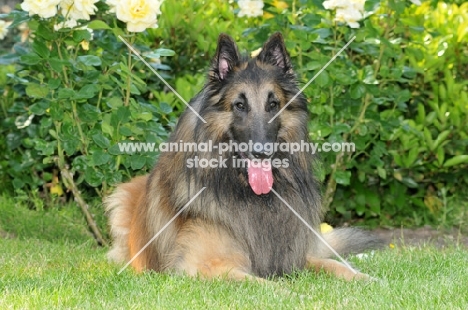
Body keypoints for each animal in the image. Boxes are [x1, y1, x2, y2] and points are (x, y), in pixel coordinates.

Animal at [105, 32, 380, 280]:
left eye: (273, 104)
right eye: (240, 105)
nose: (262, 152)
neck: (246, 191)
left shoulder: (293, 256)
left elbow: (336, 265)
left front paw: (368, 279)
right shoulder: (204, 266)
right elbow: (268, 287)